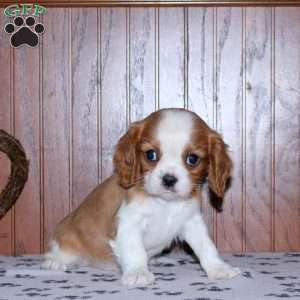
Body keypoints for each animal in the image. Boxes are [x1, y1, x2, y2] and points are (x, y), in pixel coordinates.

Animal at [42, 109, 239, 288]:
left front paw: (219, 268)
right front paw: (137, 273)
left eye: (192, 159)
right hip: (66, 237)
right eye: (151, 155)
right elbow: (134, 250)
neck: (165, 203)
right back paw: (56, 262)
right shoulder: (129, 222)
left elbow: (206, 246)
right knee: (58, 252)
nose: (169, 179)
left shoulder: (191, 222)